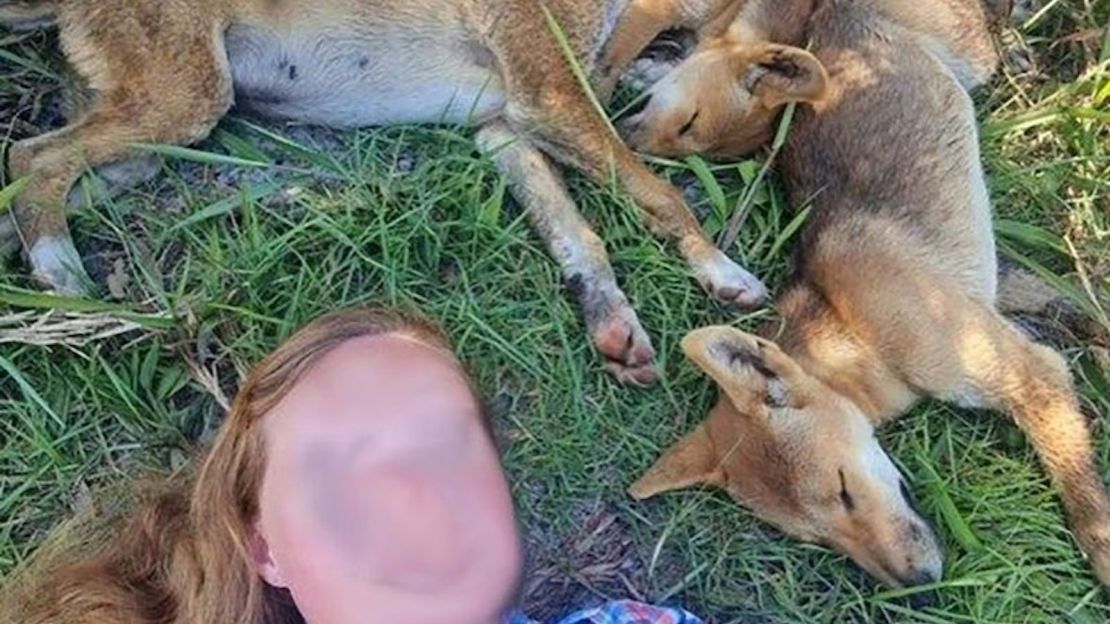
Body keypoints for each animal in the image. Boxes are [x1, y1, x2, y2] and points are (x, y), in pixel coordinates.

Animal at [630, 0, 1110, 586]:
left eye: (843, 491)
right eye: (819, 539)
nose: (919, 589)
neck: (857, 328)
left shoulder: (1029, 371)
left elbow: (1083, 500)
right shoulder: (993, 298)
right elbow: (1077, 308)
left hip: (973, 55)